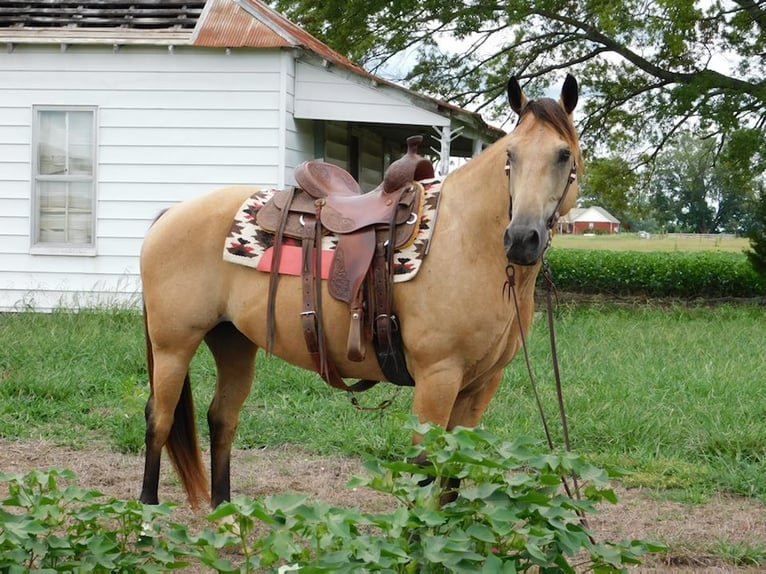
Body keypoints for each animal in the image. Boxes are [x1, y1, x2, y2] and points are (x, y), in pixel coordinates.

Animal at [141, 73, 584, 508]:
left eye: (564, 155)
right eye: (511, 155)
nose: (522, 238)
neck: (465, 239)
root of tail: (170, 214)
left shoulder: (480, 386)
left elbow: (453, 474)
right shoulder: (437, 379)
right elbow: (425, 471)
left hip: (232, 341)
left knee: (222, 418)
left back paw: (226, 516)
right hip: (173, 347)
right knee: (159, 419)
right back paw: (146, 513)